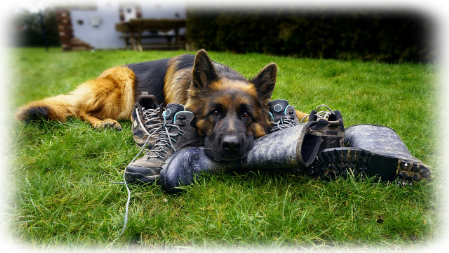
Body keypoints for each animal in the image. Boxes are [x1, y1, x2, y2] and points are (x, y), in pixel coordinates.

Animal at [15, 49, 306, 160]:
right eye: (214, 113)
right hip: (123, 83)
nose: (231, 146)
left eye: (247, 115)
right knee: (80, 110)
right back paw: (103, 122)